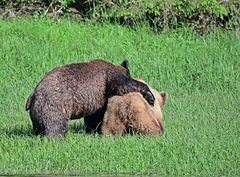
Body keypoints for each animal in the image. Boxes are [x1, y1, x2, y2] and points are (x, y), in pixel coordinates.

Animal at [25, 59, 154, 138]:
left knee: (38, 126)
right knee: (55, 124)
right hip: (55, 103)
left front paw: (93, 130)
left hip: (37, 112)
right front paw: (150, 95)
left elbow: (94, 117)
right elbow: (123, 85)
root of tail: (33, 95)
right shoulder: (108, 79)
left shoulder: (98, 99)